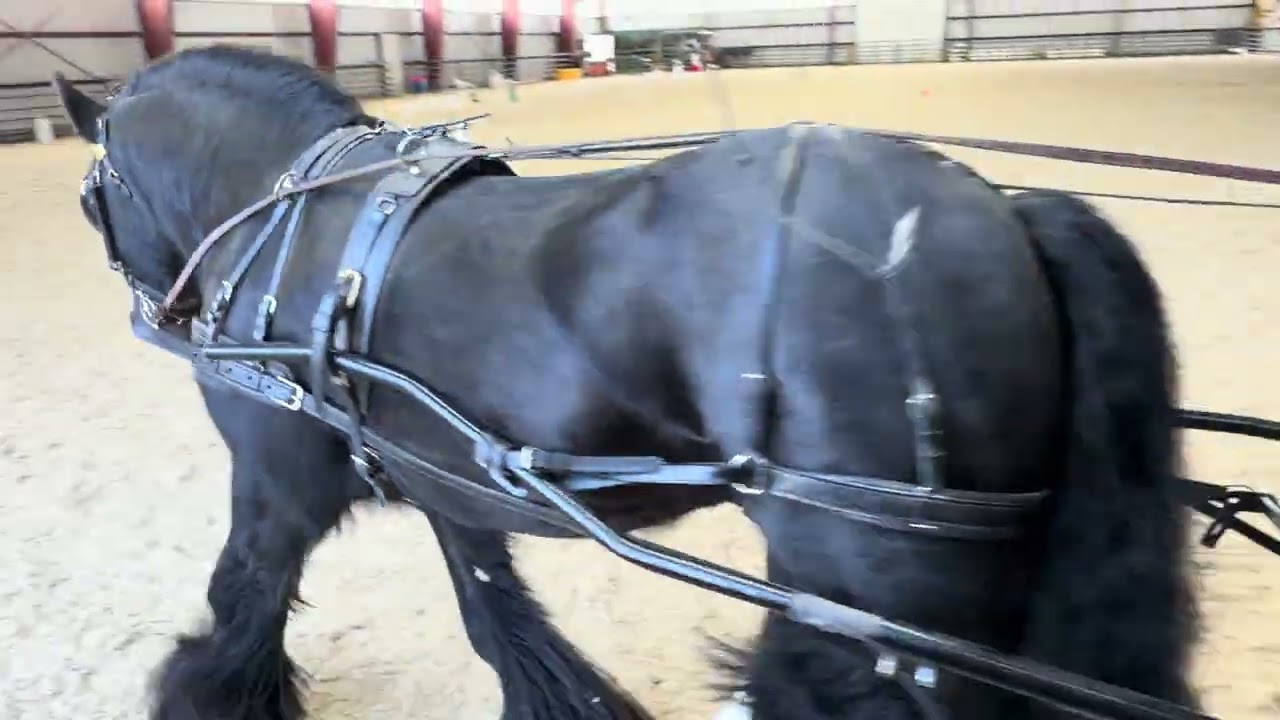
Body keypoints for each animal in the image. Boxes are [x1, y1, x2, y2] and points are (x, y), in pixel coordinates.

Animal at [53, 45, 1198, 720]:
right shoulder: (449, 483)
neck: (290, 216)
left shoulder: (276, 484)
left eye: (89, 194)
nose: (167, 307)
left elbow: (241, 594)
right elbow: (494, 612)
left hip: (882, 609)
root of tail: (1010, 216)